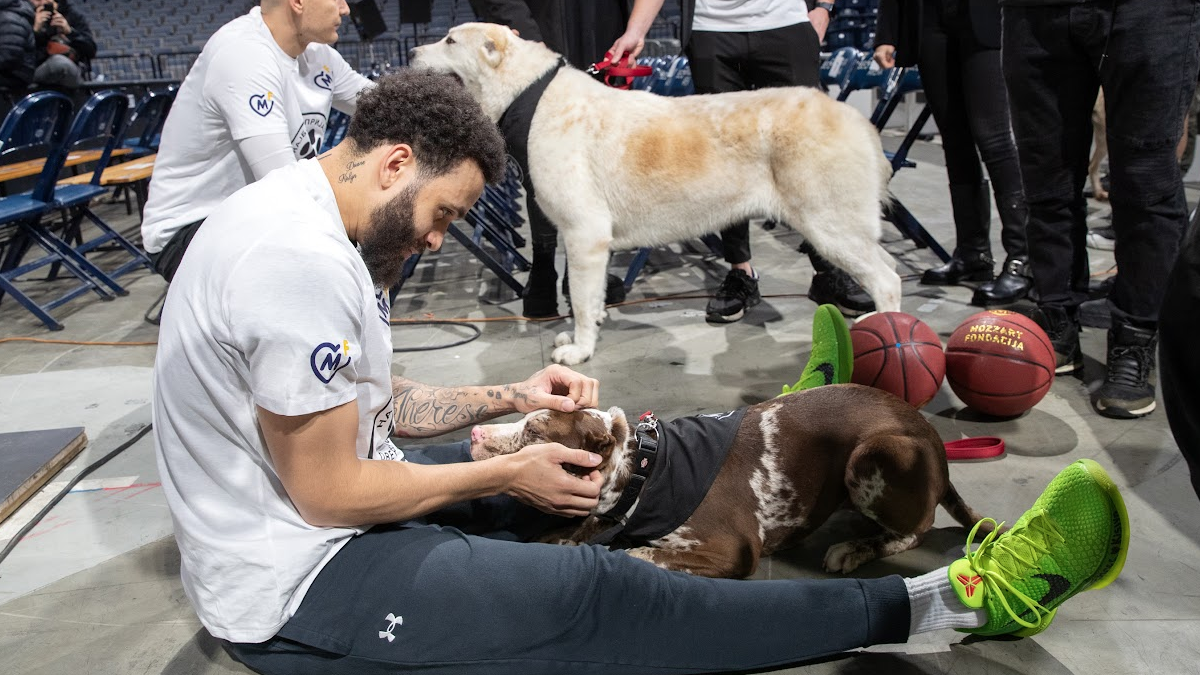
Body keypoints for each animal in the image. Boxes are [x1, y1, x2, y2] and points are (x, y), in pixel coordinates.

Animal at [412, 23, 902, 365]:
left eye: (450, 40)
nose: (413, 52)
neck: (530, 96)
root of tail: (856, 120)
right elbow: (588, 297)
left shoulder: (584, 235)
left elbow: (582, 301)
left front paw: (581, 350)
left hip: (829, 224)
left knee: (888, 279)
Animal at [468, 381, 984, 576]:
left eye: (535, 432)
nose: (474, 433)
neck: (642, 471)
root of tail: (932, 437)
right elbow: (556, 539)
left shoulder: (731, 550)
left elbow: (635, 553)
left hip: (876, 452)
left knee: (916, 529)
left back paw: (857, 548)